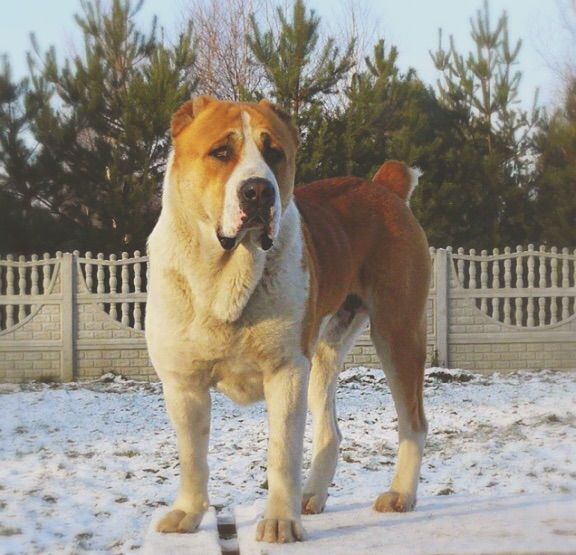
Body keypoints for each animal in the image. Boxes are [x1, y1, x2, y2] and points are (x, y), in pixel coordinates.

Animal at [146, 95, 430, 544]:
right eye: (221, 152)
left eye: (274, 153)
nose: (258, 190)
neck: (225, 277)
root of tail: (384, 187)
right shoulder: (183, 383)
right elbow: (193, 456)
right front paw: (188, 513)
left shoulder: (285, 372)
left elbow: (281, 453)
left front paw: (280, 522)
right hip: (325, 353)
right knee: (331, 428)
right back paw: (312, 495)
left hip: (398, 334)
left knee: (413, 422)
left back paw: (399, 493)